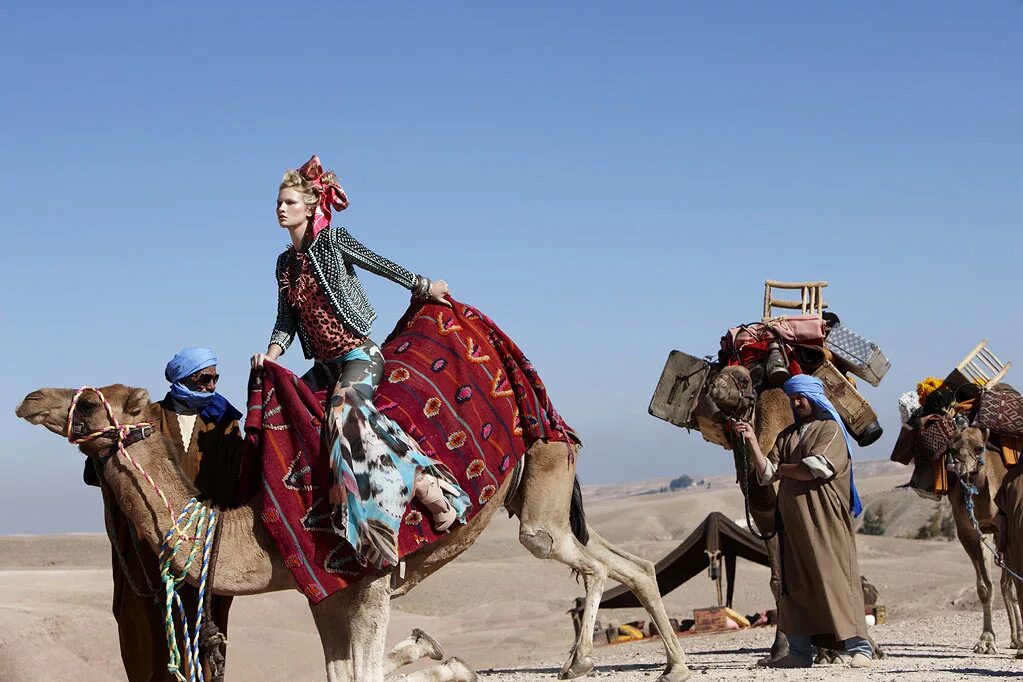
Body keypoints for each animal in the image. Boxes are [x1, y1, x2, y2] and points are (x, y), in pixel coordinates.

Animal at [15, 384, 691, 682]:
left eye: (95, 402)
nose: (28, 399)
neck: (257, 527)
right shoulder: (324, 594)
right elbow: (343, 673)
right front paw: (435, 655)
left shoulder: (367, 581)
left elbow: (362, 673)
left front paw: (436, 658)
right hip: (542, 489)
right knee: (627, 563)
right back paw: (655, 666)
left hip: (545, 474)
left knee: (581, 557)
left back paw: (619, 664)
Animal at [941, 427, 1023, 654]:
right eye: (951, 448)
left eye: (979, 448)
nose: (958, 467)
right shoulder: (969, 532)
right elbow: (985, 587)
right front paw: (986, 641)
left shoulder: (1006, 527)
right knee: (1004, 583)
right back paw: (1014, 638)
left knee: (1008, 583)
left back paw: (1018, 638)